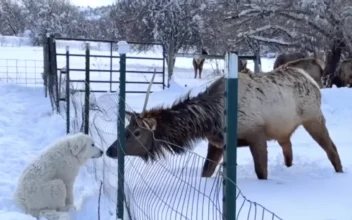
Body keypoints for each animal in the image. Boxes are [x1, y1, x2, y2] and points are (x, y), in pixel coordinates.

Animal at [106, 65, 342, 179]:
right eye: (127, 127)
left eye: (137, 132)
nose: (110, 150)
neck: (212, 119)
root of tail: (313, 81)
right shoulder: (218, 143)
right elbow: (206, 172)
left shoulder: (256, 134)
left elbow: (261, 172)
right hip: (284, 130)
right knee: (288, 151)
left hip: (313, 117)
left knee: (331, 148)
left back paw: (339, 172)